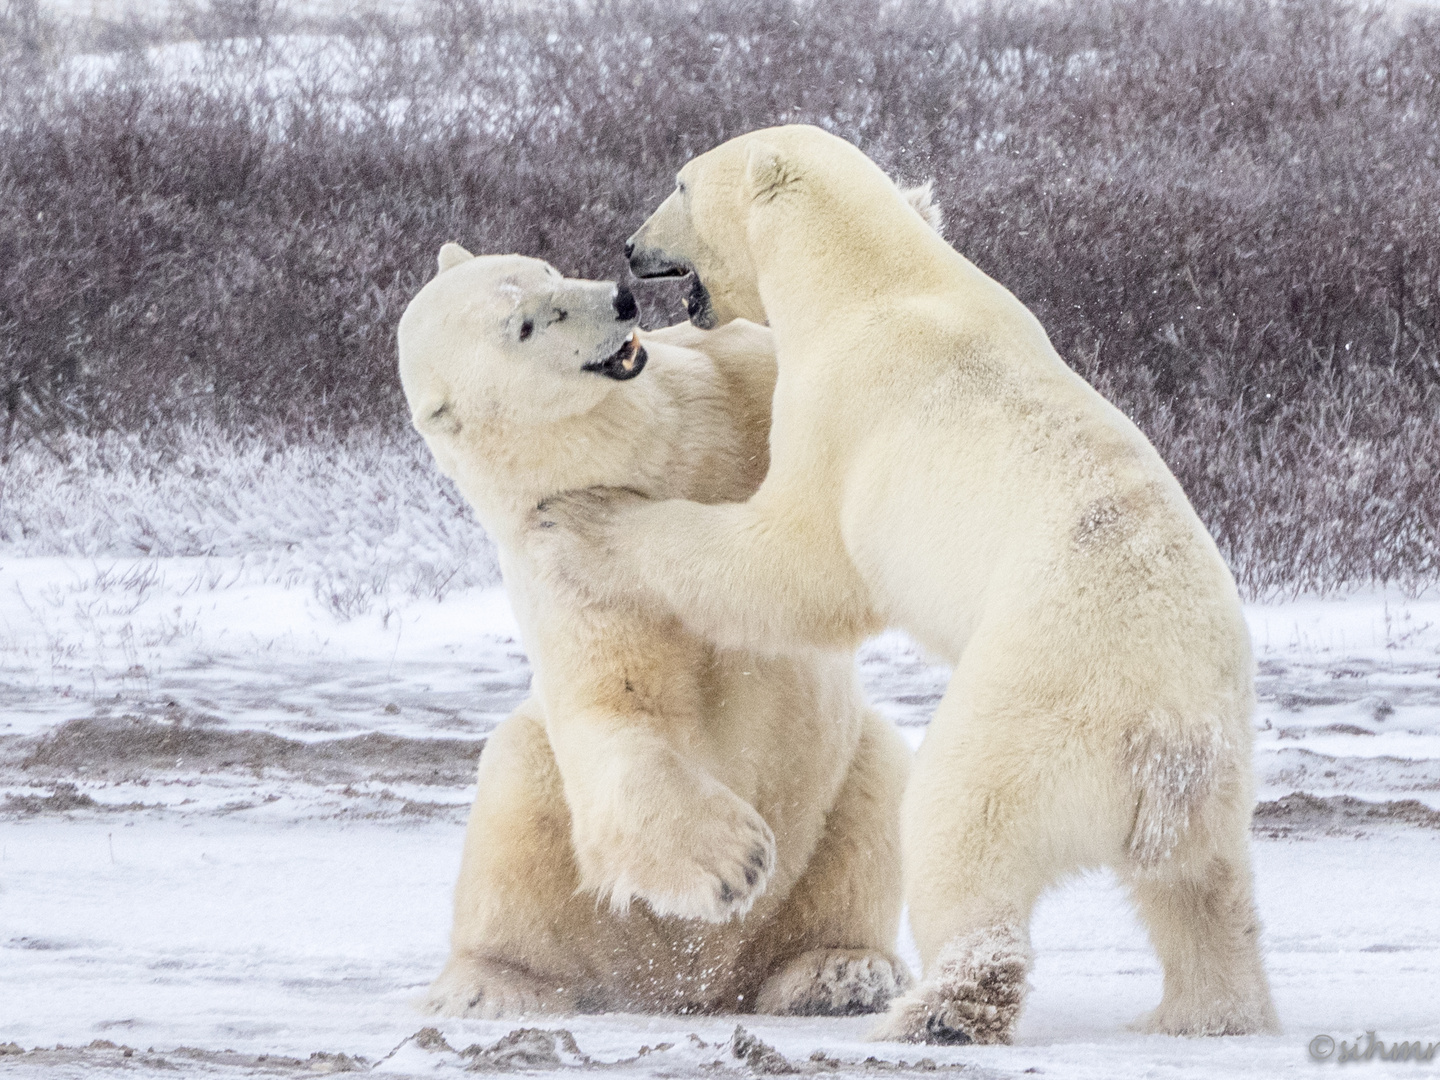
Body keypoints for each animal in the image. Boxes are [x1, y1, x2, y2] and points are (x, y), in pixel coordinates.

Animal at [394, 244, 910, 1025]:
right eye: (524, 325)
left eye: (546, 271)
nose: (620, 300)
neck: (654, 451)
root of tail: (687, 983)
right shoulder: (559, 582)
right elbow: (619, 710)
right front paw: (734, 862)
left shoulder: (732, 383)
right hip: (548, 825)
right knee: (514, 805)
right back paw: (490, 985)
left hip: (844, 783)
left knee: (876, 795)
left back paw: (838, 973)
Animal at [524, 128, 1278, 1048]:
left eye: (681, 182)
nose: (631, 247)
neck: (871, 281)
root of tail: (1169, 735)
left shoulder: (841, 413)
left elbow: (792, 563)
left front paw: (583, 516)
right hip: (1221, 774)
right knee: (1203, 890)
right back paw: (1203, 1012)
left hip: (1037, 712)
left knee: (963, 827)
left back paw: (940, 1011)